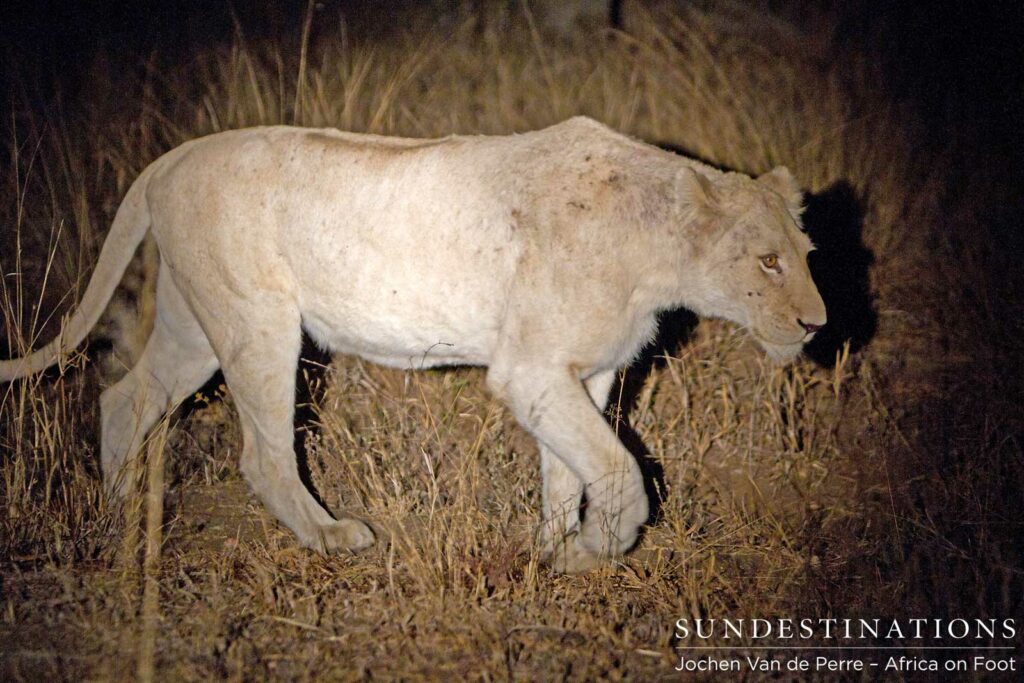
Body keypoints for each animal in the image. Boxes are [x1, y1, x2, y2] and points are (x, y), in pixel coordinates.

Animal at [0, 117, 825, 572]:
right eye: (768, 261)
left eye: (807, 254)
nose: (817, 322)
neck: (658, 255)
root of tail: (171, 158)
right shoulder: (529, 372)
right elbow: (618, 468)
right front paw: (604, 547)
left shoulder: (581, 375)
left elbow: (570, 469)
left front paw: (558, 551)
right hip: (258, 322)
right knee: (261, 453)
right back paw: (331, 535)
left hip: (195, 322)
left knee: (122, 397)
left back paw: (119, 513)